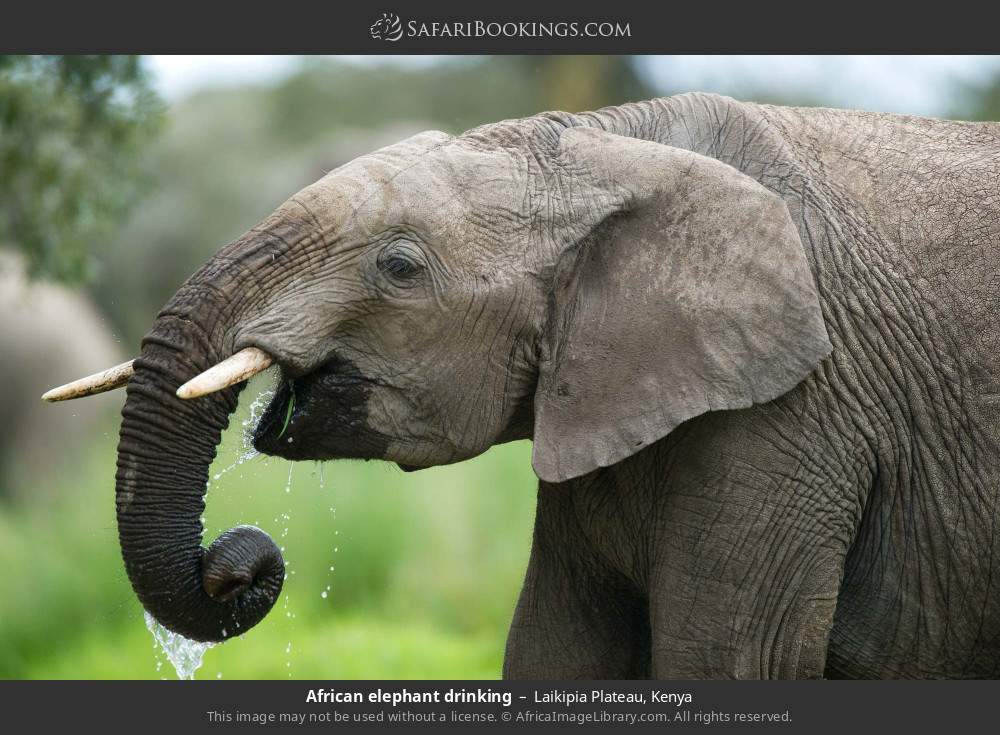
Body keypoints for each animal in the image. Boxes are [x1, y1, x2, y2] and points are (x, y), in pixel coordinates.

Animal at [46, 92, 1000, 679]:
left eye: (398, 266)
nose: (237, 563)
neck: (609, 145)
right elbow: (551, 650)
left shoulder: (797, 411)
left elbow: (726, 660)